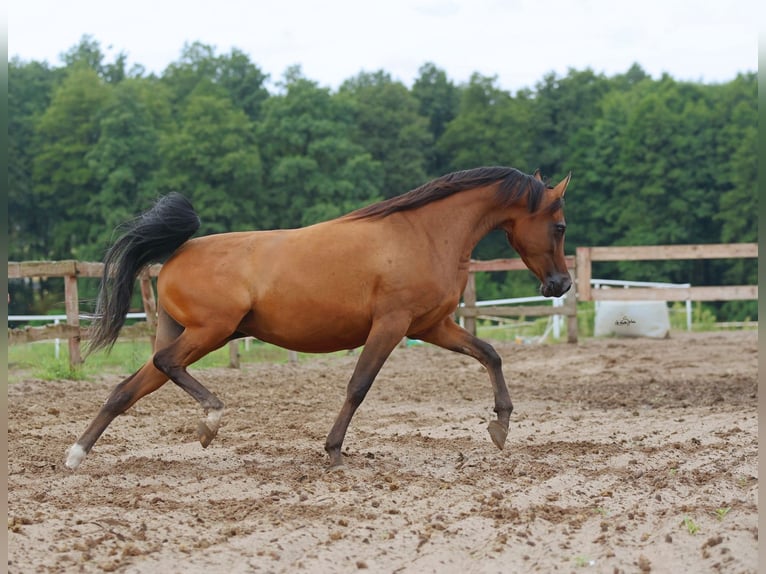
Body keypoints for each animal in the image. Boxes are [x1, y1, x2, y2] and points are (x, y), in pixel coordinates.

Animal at [64, 168, 568, 472]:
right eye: (560, 226)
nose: (560, 284)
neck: (423, 235)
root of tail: (176, 253)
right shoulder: (391, 325)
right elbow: (358, 386)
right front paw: (334, 453)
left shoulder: (430, 327)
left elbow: (490, 353)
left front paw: (501, 426)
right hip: (212, 331)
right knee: (167, 365)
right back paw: (210, 419)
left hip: (190, 333)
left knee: (128, 387)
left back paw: (76, 455)